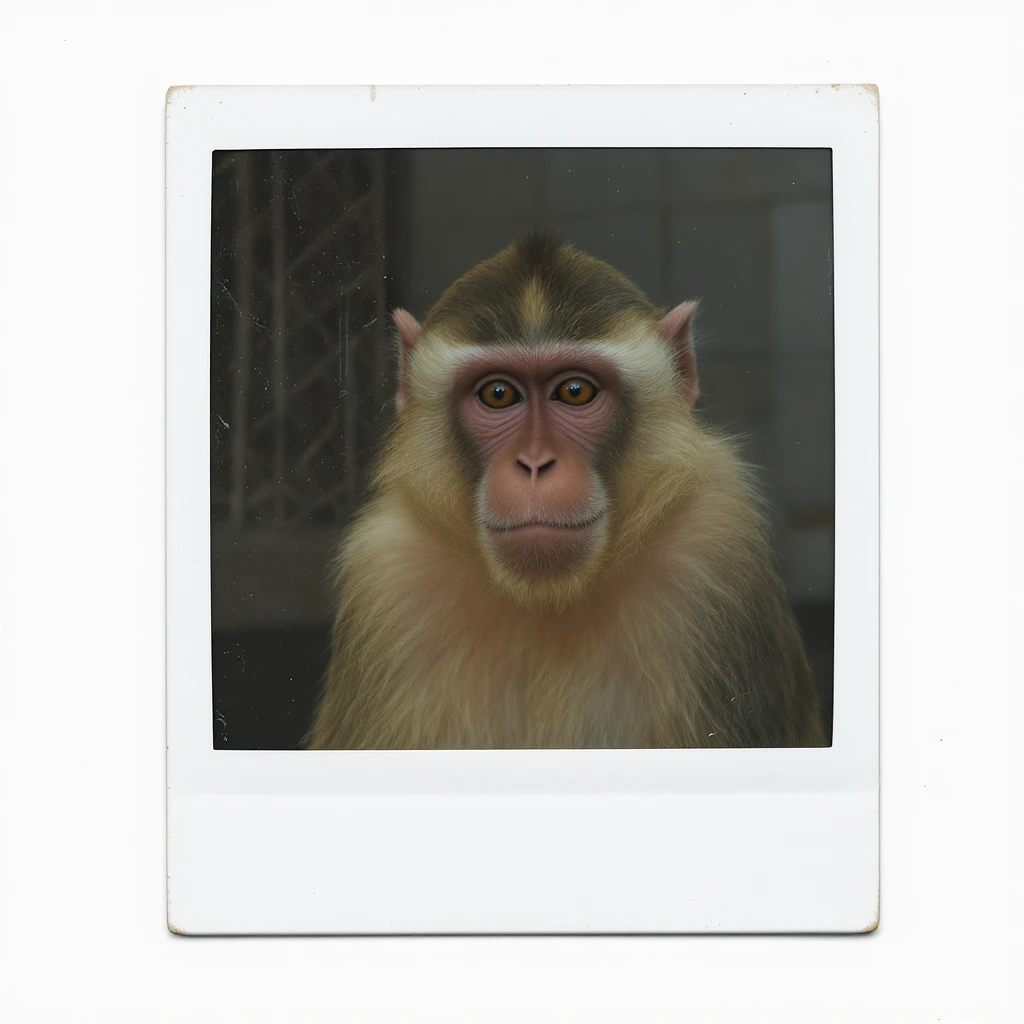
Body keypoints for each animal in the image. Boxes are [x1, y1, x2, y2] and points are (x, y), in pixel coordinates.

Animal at [307, 232, 826, 750]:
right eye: (498, 394)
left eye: (576, 391)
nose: (536, 464)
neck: (547, 599)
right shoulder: (386, 576)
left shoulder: (717, 552)